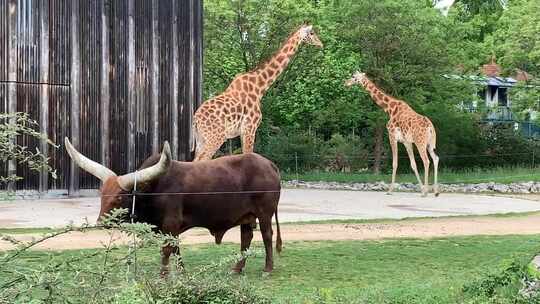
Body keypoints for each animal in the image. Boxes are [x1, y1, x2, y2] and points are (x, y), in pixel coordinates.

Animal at [64, 138, 282, 274]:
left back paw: (268, 268)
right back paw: (237, 268)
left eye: (119, 197)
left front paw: (163, 274)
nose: (101, 221)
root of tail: (269, 165)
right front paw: (181, 271)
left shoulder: (170, 224)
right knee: (246, 237)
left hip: (264, 213)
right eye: (102, 194)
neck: (152, 189)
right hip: (246, 216)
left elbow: (167, 250)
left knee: (267, 235)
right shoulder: (170, 229)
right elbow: (175, 249)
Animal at [193, 24, 322, 162]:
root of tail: (196, 119)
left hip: (201, 139)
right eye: (312, 33)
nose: (321, 44)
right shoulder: (250, 128)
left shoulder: (244, 131)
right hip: (216, 137)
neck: (259, 87)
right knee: (202, 160)